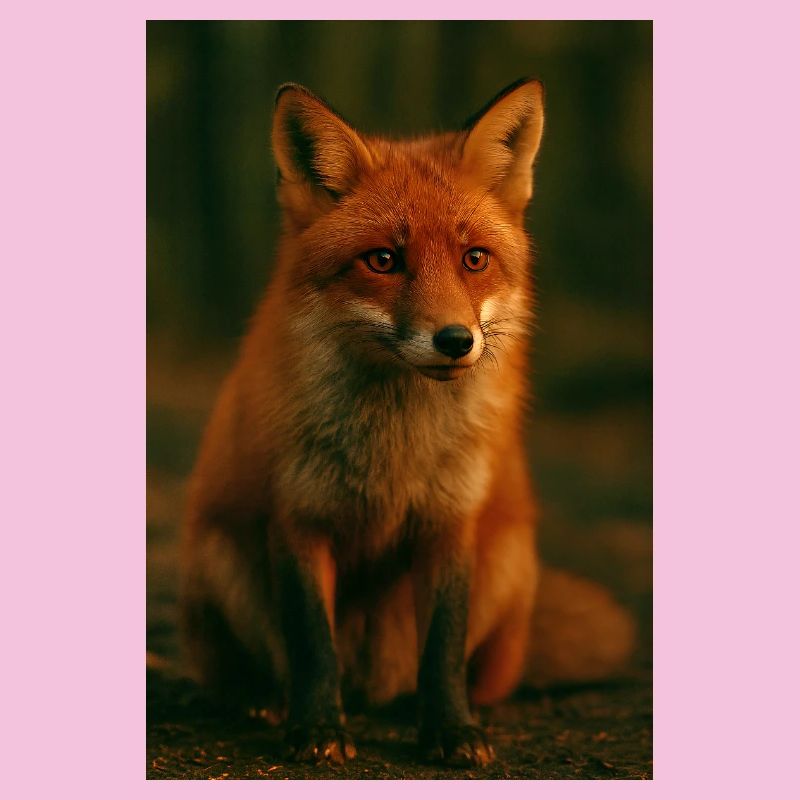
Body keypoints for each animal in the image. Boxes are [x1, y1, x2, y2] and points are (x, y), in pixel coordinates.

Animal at [179, 78, 635, 768]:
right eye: (383, 260)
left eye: (474, 258)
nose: (455, 340)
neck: (396, 447)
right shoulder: (298, 518)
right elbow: (312, 643)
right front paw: (317, 729)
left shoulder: (450, 521)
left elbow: (443, 646)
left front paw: (451, 731)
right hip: (218, 553)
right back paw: (261, 700)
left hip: (508, 560)